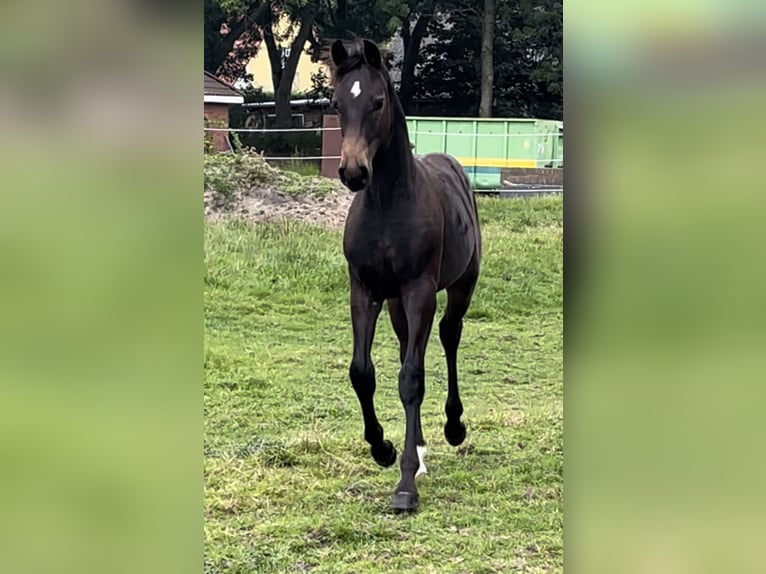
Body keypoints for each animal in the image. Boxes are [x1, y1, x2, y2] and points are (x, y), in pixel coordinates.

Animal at [328, 38, 484, 512]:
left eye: (377, 101)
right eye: (336, 104)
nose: (353, 172)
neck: (386, 204)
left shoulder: (420, 291)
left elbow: (412, 379)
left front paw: (405, 485)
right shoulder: (365, 290)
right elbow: (363, 372)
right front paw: (384, 449)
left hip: (459, 285)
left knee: (449, 336)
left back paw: (453, 427)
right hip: (397, 302)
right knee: (404, 349)